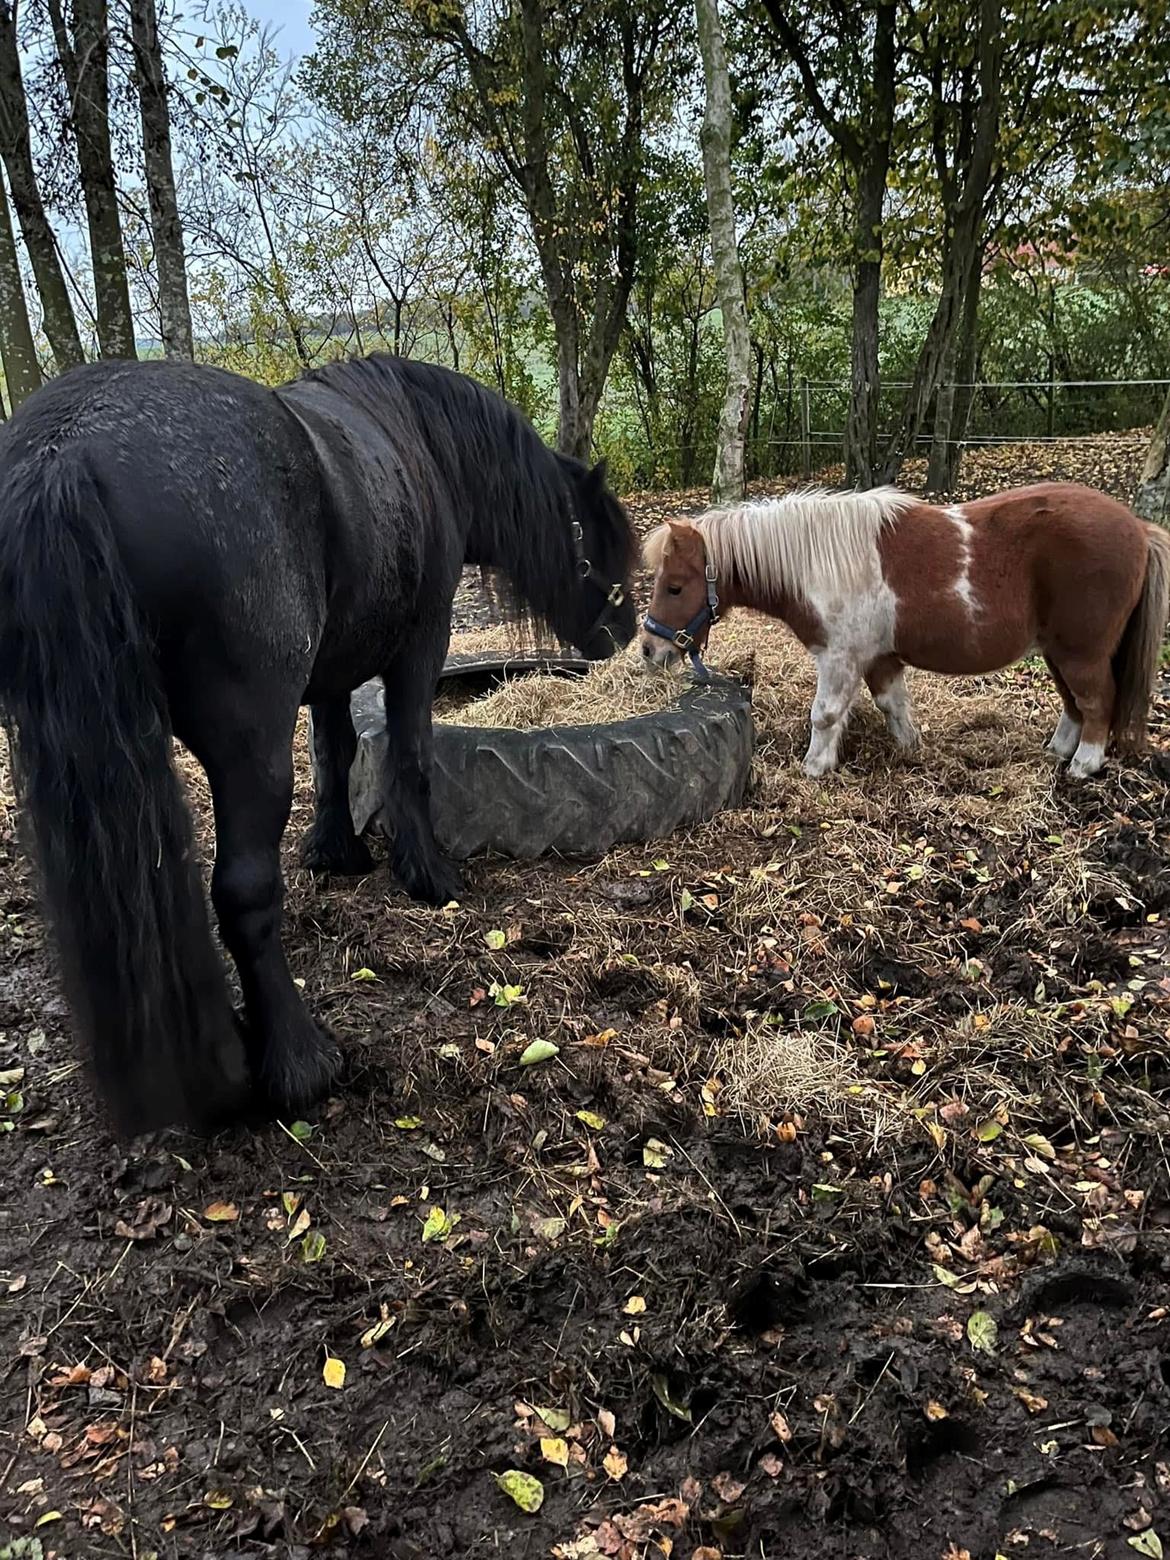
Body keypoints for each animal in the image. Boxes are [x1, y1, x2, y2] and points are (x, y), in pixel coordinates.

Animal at [0, 354, 636, 1135]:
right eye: (599, 543)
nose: (627, 634)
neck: (425, 443)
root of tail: (64, 453)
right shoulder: (420, 646)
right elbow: (409, 757)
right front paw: (430, 874)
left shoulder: (335, 667)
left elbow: (336, 754)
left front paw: (336, 852)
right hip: (250, 759)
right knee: (243, 892)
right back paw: (299, 1061)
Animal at [642, 480, 1170, 780]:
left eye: (674, 587)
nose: (649, 649)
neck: (819, 563)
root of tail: (1139, 529)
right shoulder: (880, 658)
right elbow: (892, 705)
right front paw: (910, 750)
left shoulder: (841, 657)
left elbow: (825, 715)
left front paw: (815, 768)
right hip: (1057, 651)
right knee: (1074, 705)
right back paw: (1058, 752)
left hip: (1082, 653)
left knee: (1096, 702)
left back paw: (1083, 765)